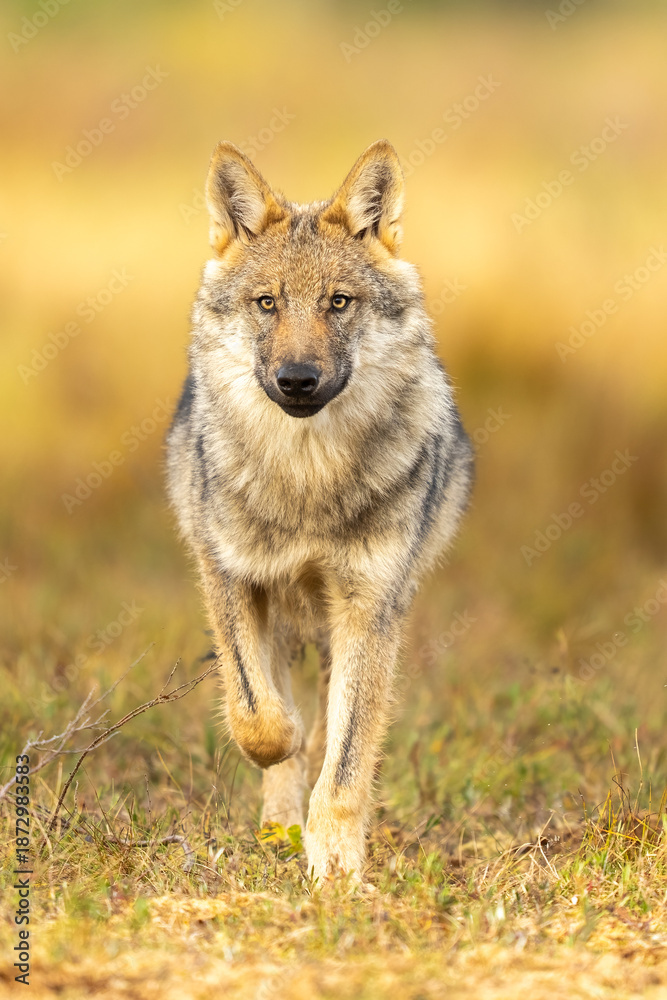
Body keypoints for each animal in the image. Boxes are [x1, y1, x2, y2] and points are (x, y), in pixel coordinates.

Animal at [166, 139, 473, 882]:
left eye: (337, 302)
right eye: (267, 304)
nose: (297, 380)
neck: (307, 483)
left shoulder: (370, 605)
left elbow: (346, 756)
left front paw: (335, 867)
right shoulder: (228, 576)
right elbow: (262, 720)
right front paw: (288, 781)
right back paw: (278, 825)